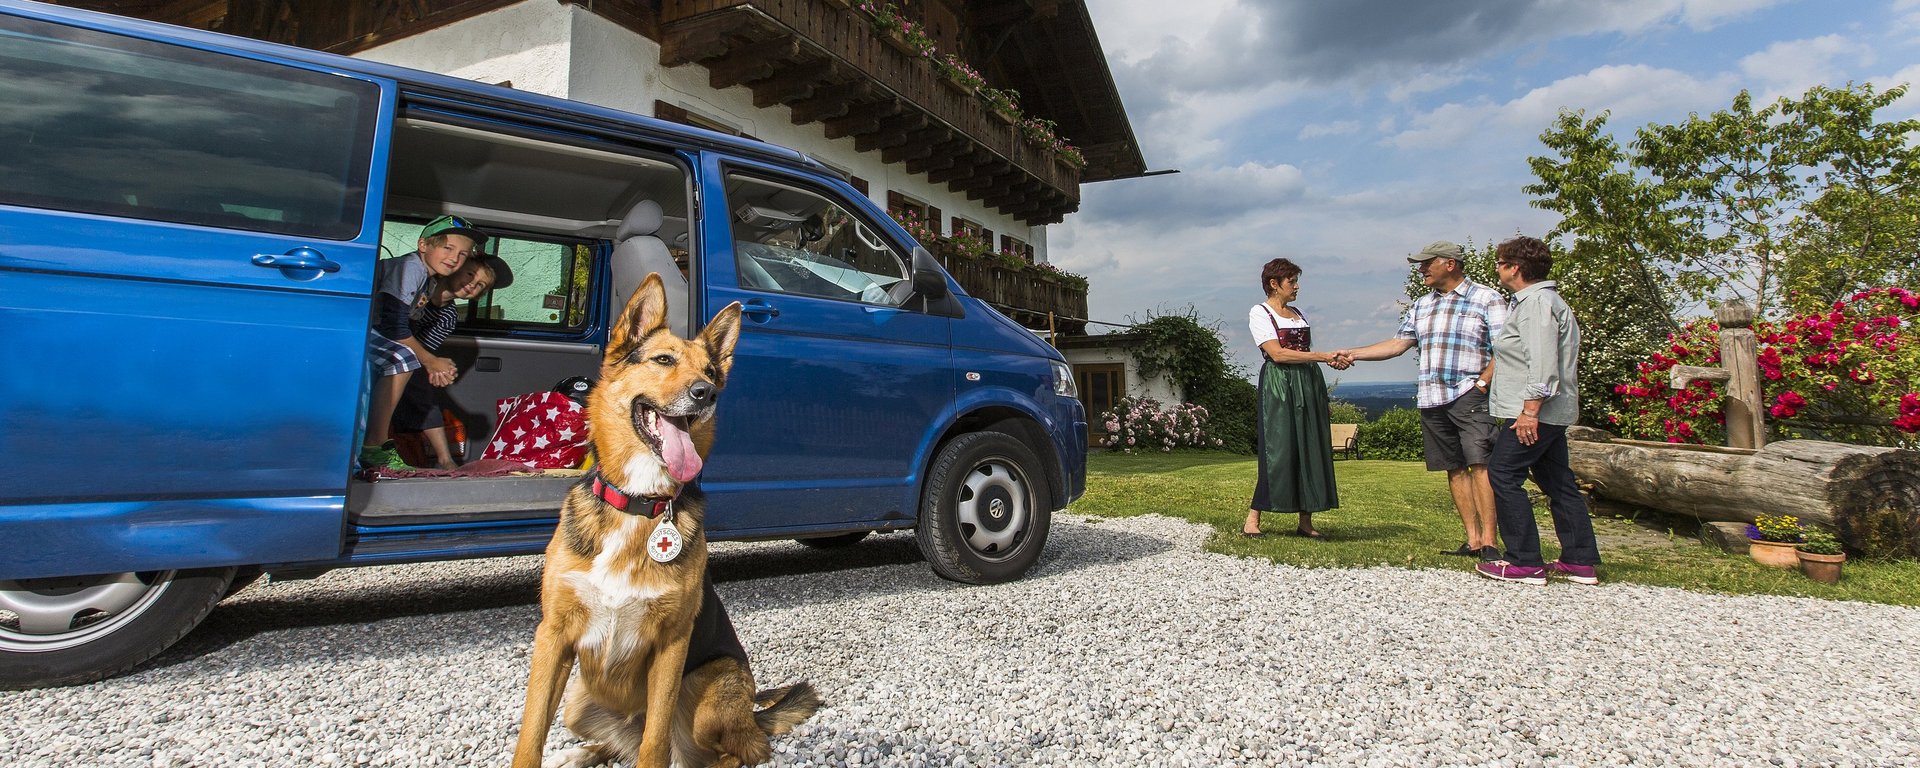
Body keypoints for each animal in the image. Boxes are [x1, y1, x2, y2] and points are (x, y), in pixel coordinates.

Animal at [510, 276, 817, 768]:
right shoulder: (553, 636)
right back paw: (578, 754)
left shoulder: (671, 643)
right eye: (663, 360)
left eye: (710, 371)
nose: (706, 394)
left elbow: (655, 743)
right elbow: (531, 733)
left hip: (712, 689)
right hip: (578, 699)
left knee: (730, 750)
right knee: (618, 744)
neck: (639, 503)